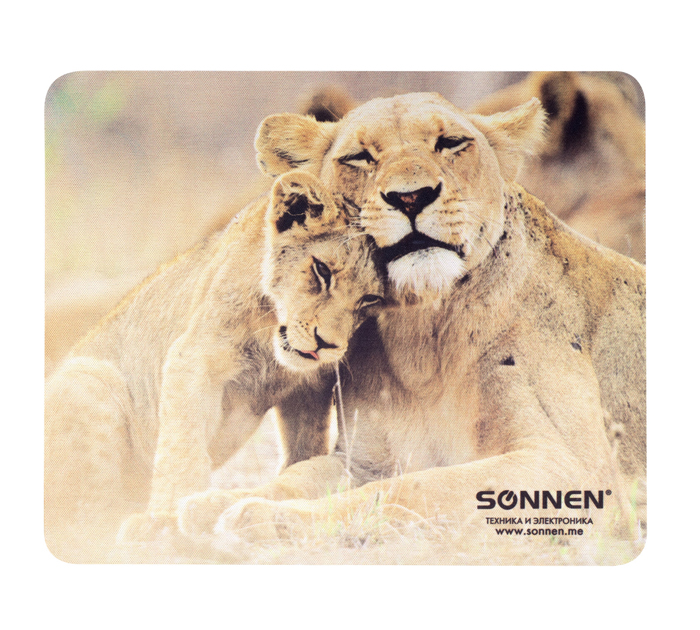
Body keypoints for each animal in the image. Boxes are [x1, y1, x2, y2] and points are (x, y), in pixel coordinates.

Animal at [44, 171, 385, 561]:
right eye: (322, 270)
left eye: (370, 299)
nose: (326, 344)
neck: (271, 333)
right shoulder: (193, 356)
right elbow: (183, 449)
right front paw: (165, 520)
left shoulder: (309, 387)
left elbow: (304, 449)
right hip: (86, 379)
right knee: (80, 521)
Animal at [177, 93, 645, 558]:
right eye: (360, 157)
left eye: (451, 143)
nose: (411, 197)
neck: (421, 334)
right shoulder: (363, 459)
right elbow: (298, 476)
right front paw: (206, 504)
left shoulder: (576, 469)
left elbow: (414, 489)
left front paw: (264, 519)